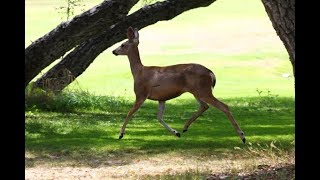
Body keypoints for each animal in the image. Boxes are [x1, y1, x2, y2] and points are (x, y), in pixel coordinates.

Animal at [111, 26, 246, 143]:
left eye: (122, 44)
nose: (113, 51)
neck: (139, 72)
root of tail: (211, 73)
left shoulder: (141, 93)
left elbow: (130, 112)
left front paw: (120, 134)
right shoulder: (161, 98)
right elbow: (159, 117)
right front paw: (176, 133)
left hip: (203, 89)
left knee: (224, 106)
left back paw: (242, 136)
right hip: (197, 91)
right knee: (204, 106)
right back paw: (185, 127)